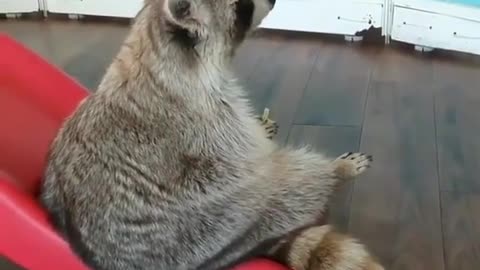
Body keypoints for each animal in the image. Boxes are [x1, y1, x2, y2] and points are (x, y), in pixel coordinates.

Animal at [38, 0, 382, 270]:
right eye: (243, 6)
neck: (153, 50)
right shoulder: (214, 124)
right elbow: (259, 160)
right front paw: (337, 167)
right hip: (231, 217)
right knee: (292, 177)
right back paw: (333, 173)